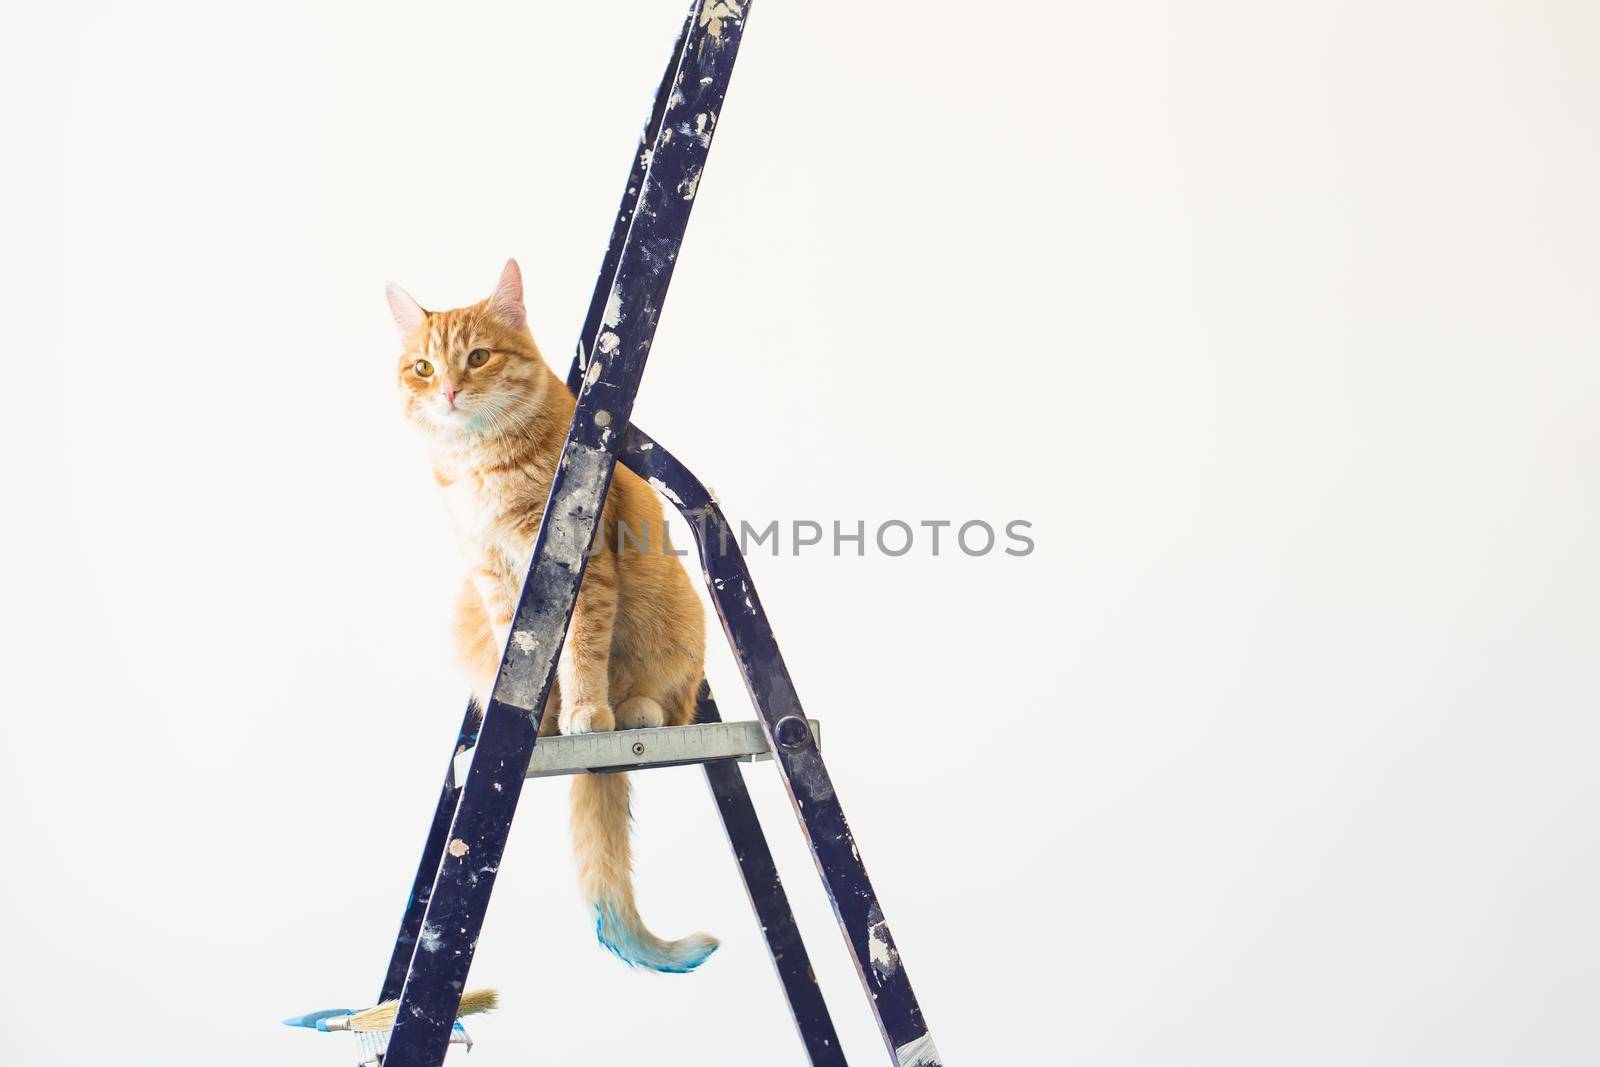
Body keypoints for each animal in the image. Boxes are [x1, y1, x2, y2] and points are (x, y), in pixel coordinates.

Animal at [384, 260, 716, 979]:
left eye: (478, 358)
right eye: (423, 367)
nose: (448, 390)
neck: (482, 460)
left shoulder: (579, 565)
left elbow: (580, 648)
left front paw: (584, 711)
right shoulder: (493, 577)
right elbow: (527, 652)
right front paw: (541, 718)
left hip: (680, 625)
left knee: (670, 703)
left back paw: (632, 710)